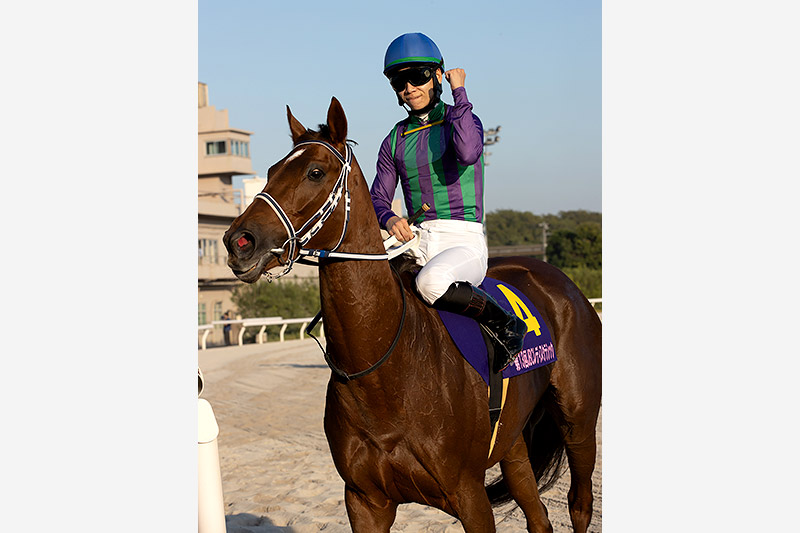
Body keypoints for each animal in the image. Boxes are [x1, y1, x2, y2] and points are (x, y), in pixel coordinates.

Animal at [223, 97, 602, 532]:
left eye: (315, 172)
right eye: (270, 171)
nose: (239, 241)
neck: (384, 368)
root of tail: (559, 279)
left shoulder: (469, 493)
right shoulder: (364, 500)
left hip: (579, 421)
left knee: (579, 501)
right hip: (512, 440)